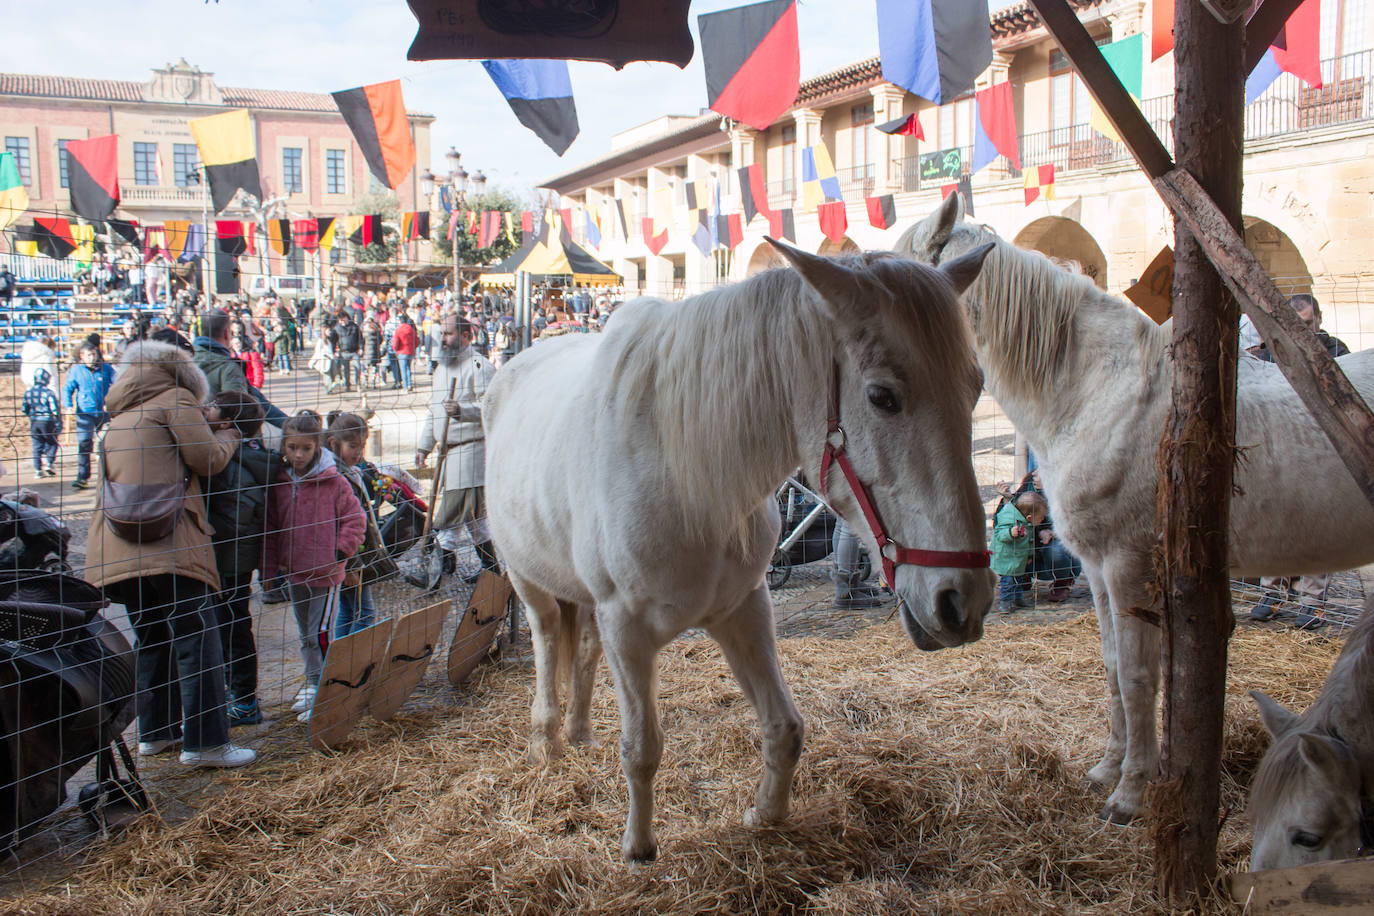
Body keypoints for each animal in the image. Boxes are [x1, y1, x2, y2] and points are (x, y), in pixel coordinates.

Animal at [489, 240, 994, 862]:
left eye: (976, 387)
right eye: (882, 396)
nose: (962, 601)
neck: (688, 473)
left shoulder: (743, 608)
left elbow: (785, 727)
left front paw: (765, 814)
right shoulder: (626, 627)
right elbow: (642, 746)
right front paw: (638, 849)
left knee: (579, 650)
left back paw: (581, 735)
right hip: (527, 581)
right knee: (543, 643)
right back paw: (547, 742)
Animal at [895, 193, 1374, 823]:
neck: (1096, 391)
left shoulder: (1130, 566)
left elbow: (1141, 675)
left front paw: (1129, 795)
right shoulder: (1099, 569)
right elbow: (1113, 668)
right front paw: (1107, 770)